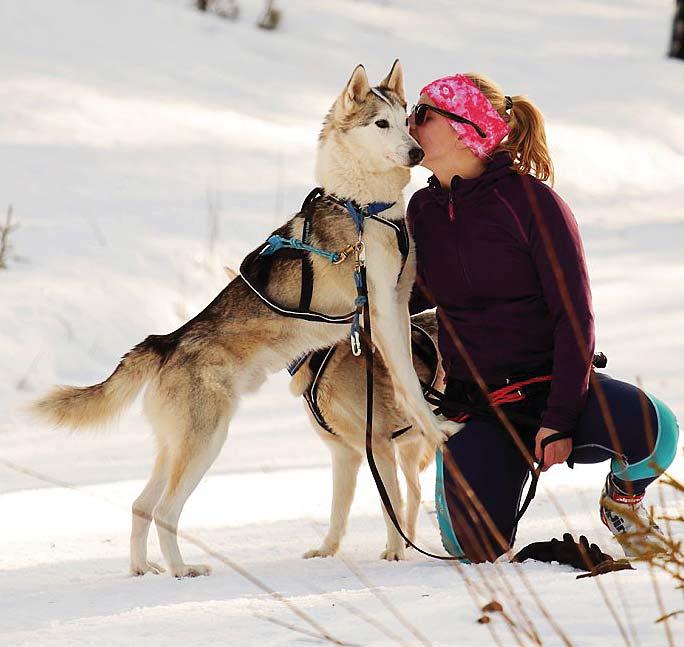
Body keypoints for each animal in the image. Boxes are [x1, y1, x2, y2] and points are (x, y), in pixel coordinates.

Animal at [292, 312, 440, 560]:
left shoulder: (378, 447)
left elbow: (390, 505)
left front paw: (394, 553)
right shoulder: (343, 454)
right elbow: (337, 510)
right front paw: (327, 550)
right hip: (409, 449)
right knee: (416, 490)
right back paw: (409, 540)